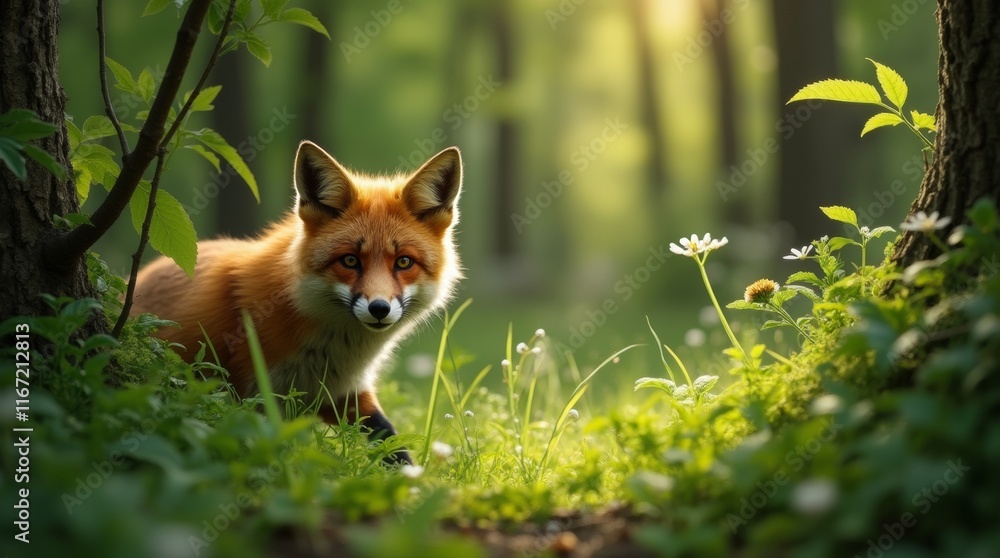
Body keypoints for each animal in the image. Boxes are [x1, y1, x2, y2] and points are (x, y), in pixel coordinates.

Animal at [130, 141, 464, 465]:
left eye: (404, 262)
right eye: (350, 260)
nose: (379, 309)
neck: (331, 352)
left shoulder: (344, 394)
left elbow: (391, 444)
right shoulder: (253, 394)